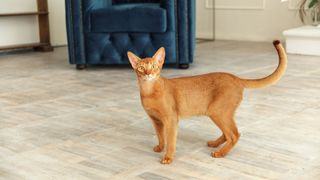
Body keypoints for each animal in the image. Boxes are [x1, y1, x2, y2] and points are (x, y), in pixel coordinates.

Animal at [127, 40, 288, 165]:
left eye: (154, 66)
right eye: (141, 68)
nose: (148, 74)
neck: (149, 91)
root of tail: (236, 78)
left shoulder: (171, 120)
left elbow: (171, 141)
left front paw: (168, 157)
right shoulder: (156, 120)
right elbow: (160, 136)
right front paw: (160, 147)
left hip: (217, 111)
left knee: (234, 134)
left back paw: (220, 153)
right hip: (222, 113)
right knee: (228, 133)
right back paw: (215, 144)